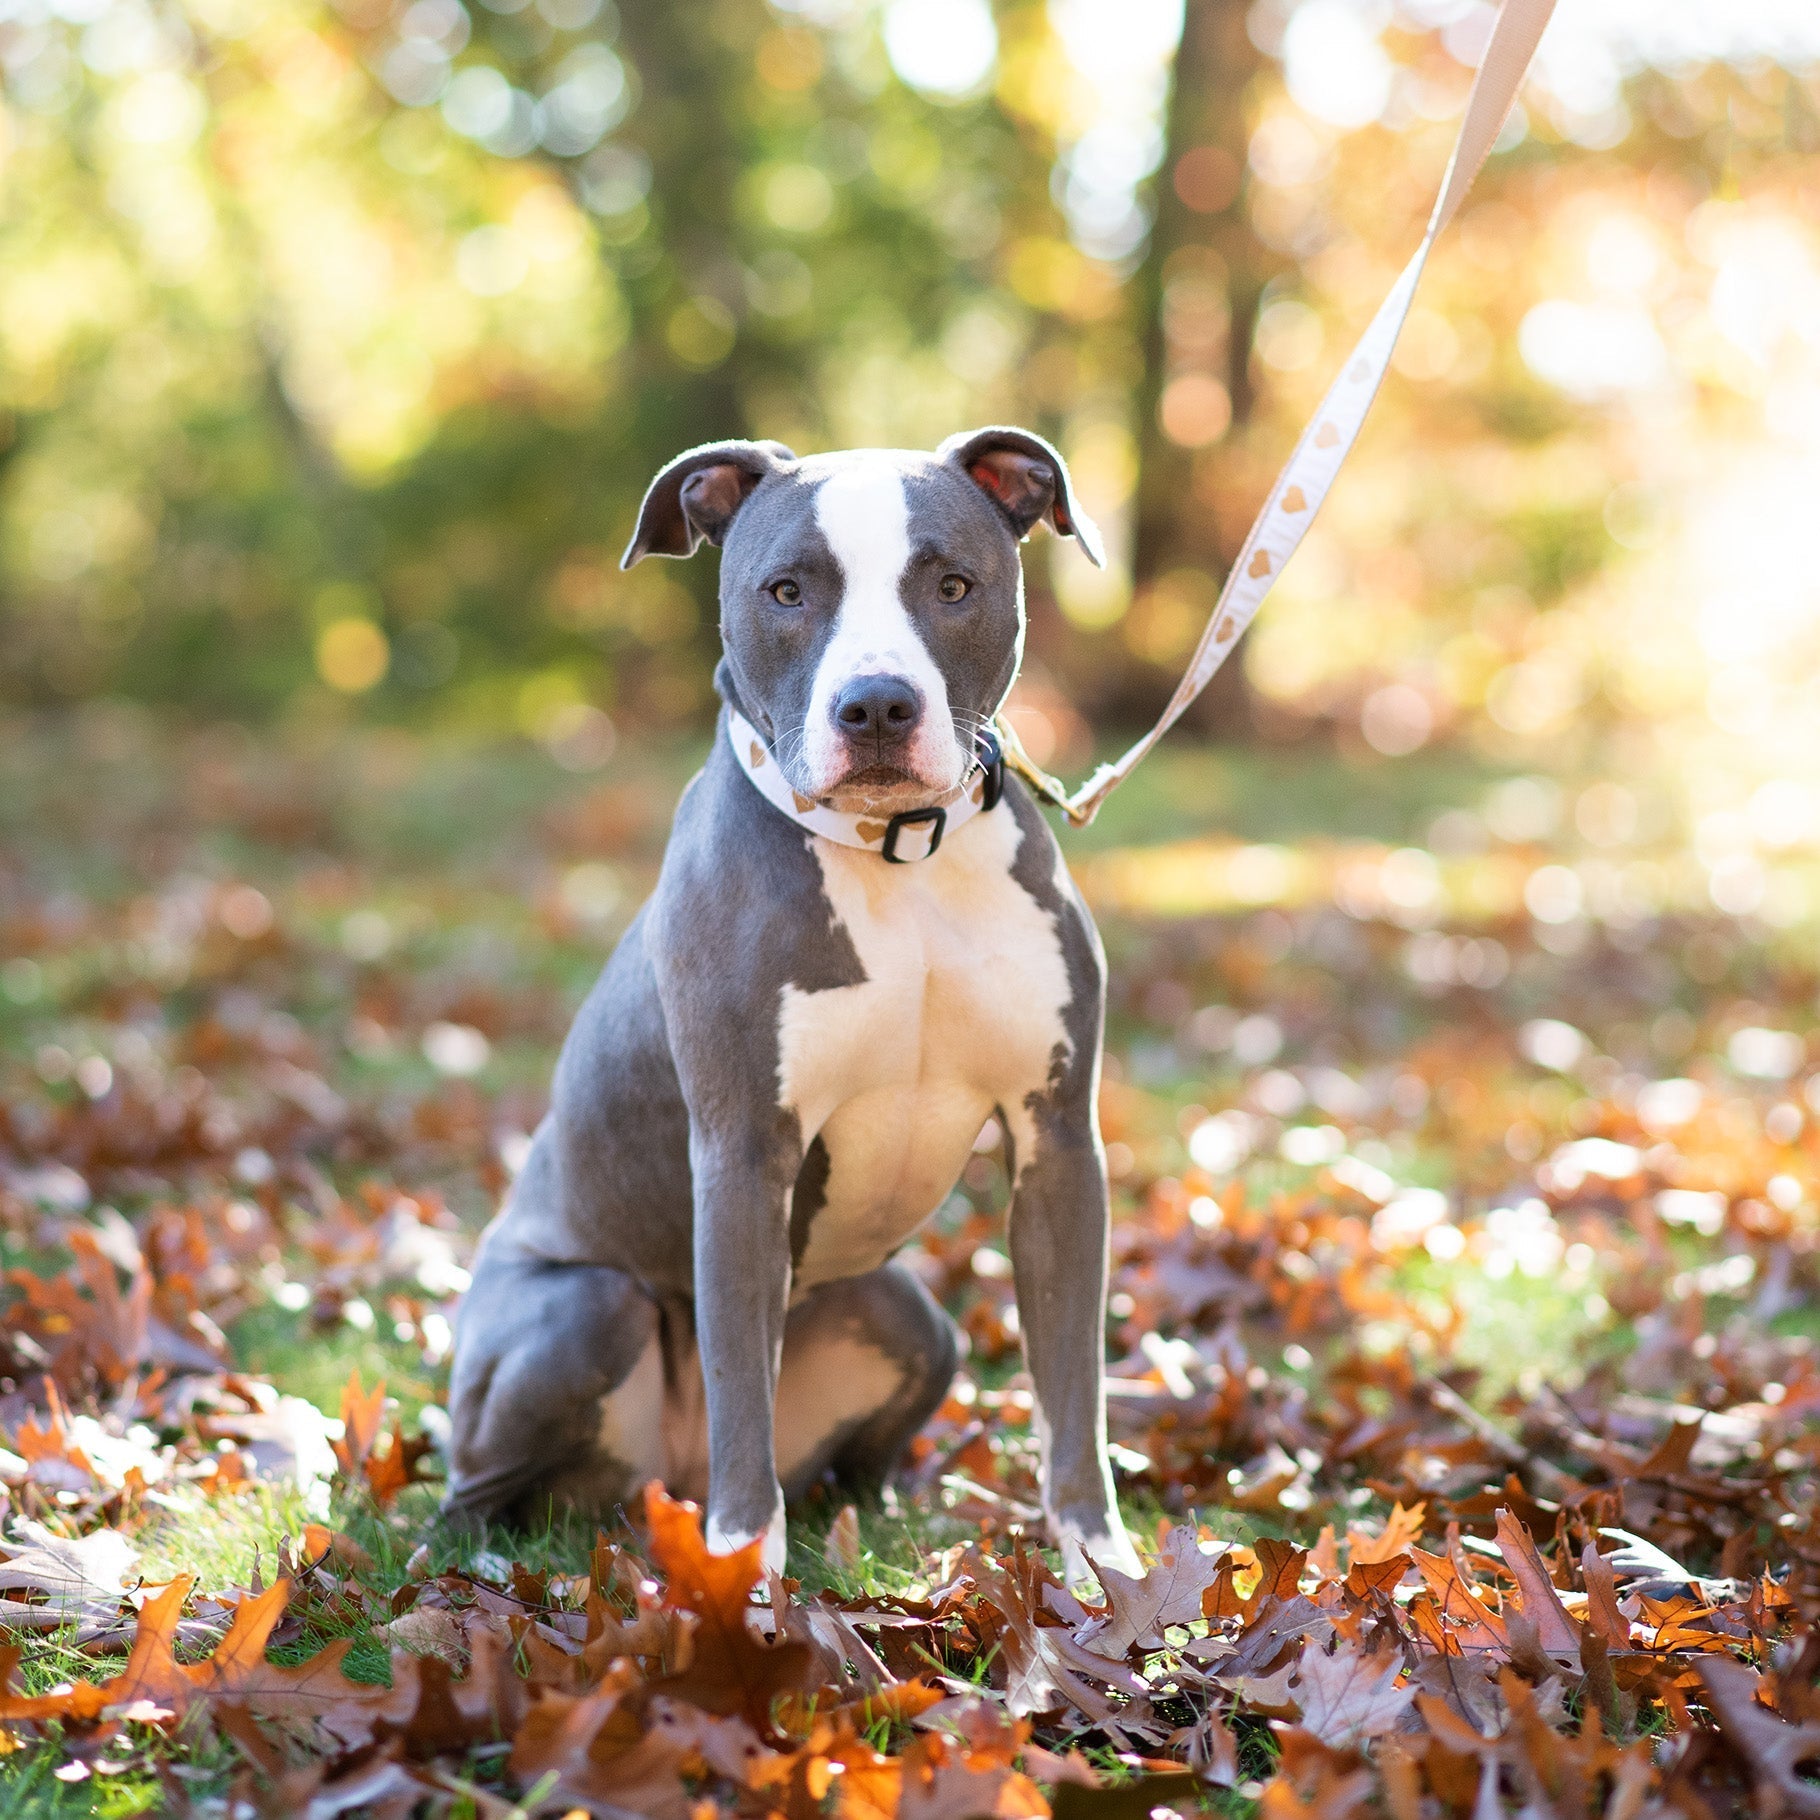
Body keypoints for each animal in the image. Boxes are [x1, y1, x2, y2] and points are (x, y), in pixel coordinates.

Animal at [444, 425, 1135, 1579]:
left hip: (910, 1316)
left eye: (952, 584)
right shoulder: (740, 1153)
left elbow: (1072, 1385)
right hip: (579, 1309)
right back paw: (476, 1558)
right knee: (482, 1481)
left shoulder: (1057, 1147)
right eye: (786, 590)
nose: (877, 705)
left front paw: (1104, 1565)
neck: (899, 860)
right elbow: (739, 1389)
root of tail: (661, 1476)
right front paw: (741, 1589)